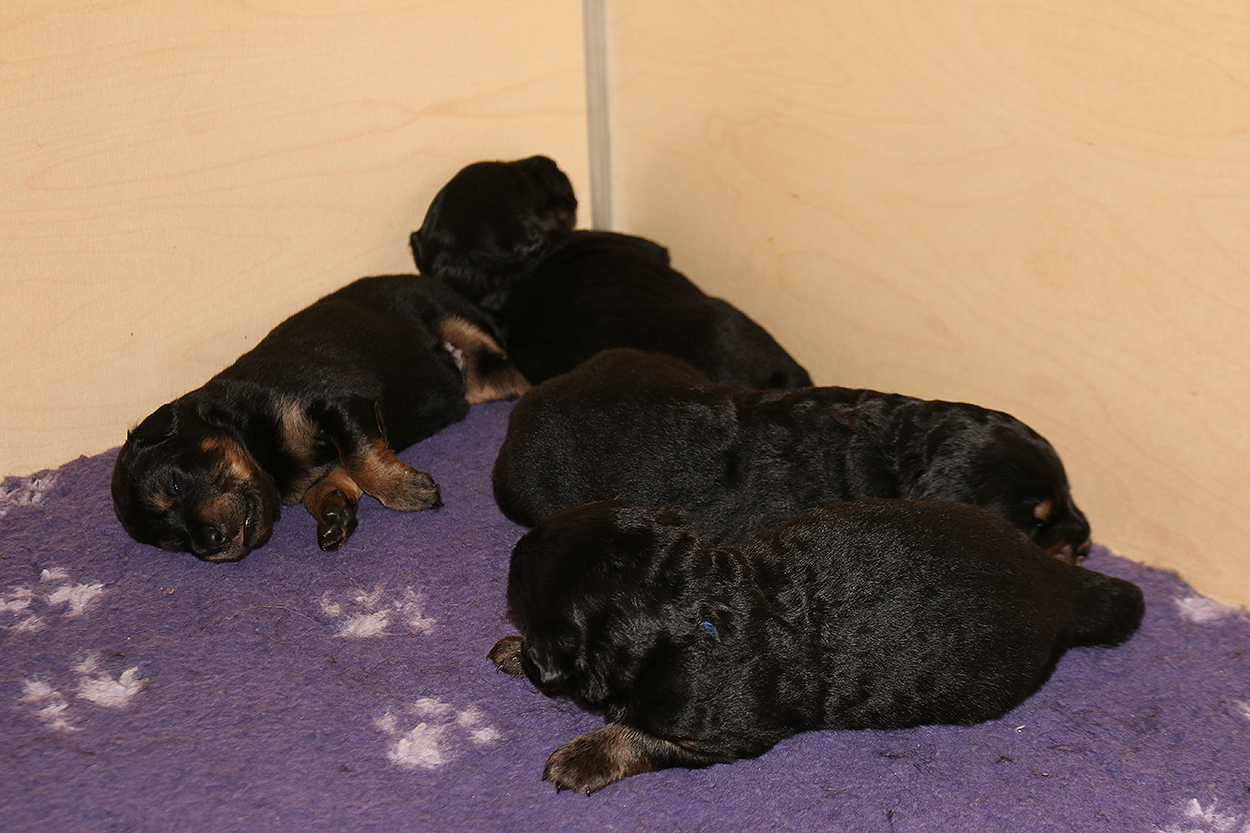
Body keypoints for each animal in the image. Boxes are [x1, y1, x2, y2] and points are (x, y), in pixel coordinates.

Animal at [112, 275, 529, 563]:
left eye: (176, 484)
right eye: (176, 541)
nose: (208, 543)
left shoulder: (340, 396)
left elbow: (360, 457)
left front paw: (404, 491)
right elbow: (342, 469)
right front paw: (333, 512)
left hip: (452, 318)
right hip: (485, 378)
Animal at [489, 498, 1144, 793]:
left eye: (523, 580)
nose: (516, 548)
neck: (695, 609)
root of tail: (1055, 580)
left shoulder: (719, 731)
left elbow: (638, 733)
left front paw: (582, 755)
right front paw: (512, 648)